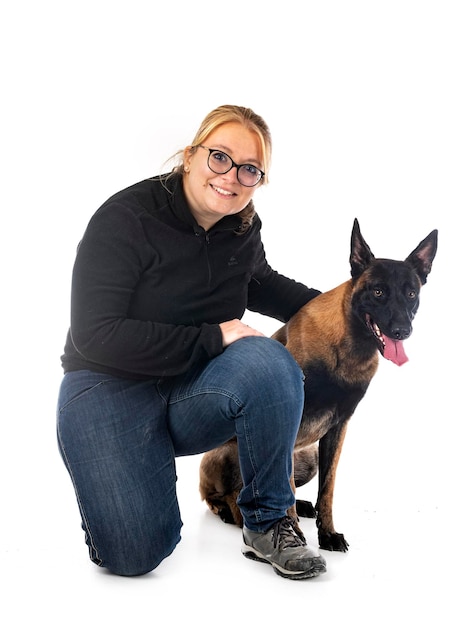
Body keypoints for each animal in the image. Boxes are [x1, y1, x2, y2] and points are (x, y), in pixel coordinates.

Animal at [198, 219, 438, 552]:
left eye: (412, 294)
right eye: (378, 292)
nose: (403, 331)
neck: (346, 350)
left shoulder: (337, 429)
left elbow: (328, 488)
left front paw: (327, 534)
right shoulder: (290, 424)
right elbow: (282, 488)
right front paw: (294, 533)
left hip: (308, 456)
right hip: (229, 455)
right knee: (229, 496)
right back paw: (235, 513)